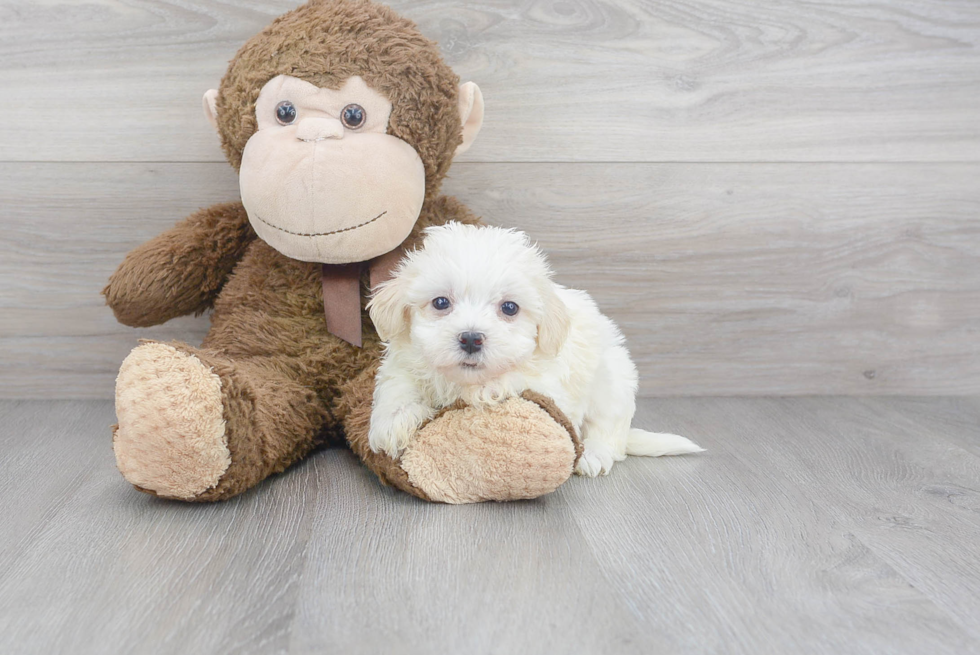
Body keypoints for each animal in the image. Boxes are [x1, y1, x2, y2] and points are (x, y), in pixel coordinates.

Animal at [364, 224, 700, 476]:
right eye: (441, 302)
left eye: (509, 308)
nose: (471, 338)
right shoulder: (404, 361)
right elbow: (399, 384)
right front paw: (393, 423)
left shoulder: (549, 384)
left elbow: (508, 382)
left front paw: (484, 391)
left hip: (613, 382)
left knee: (607, 431)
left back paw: (593, 454)